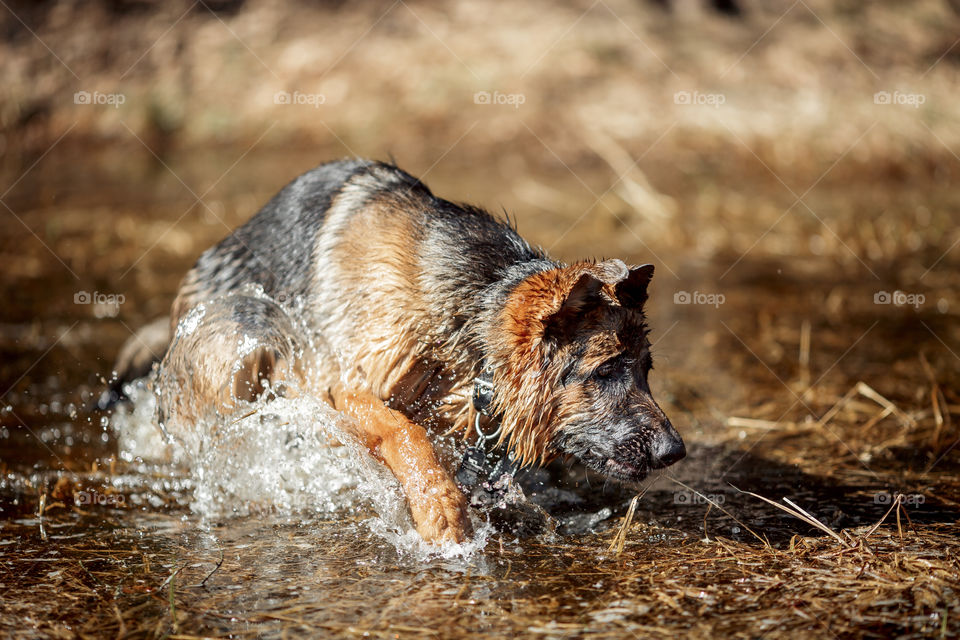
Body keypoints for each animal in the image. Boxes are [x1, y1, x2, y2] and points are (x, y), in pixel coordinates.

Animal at [110, 160, 684, 544]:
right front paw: (441, 509)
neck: (473, 326)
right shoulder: (343, 384)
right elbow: (404, 433)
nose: (674, 452)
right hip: (236, 358)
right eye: (605, 370)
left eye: (646, 370)